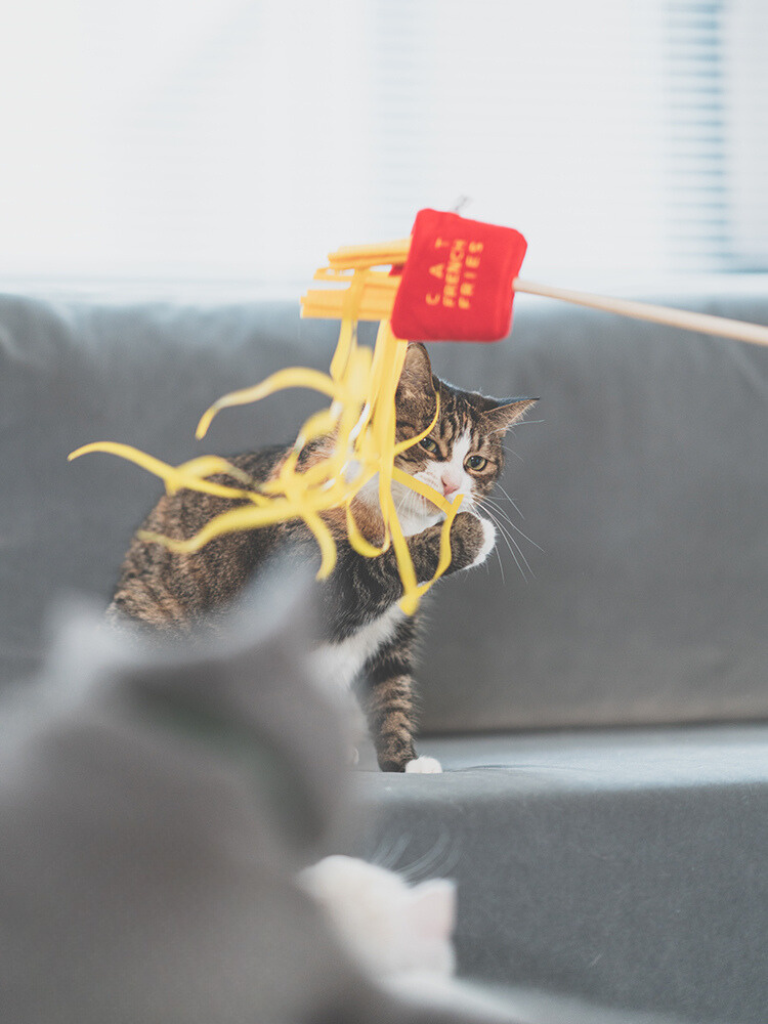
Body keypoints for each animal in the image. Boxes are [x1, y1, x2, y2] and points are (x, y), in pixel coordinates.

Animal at [108, 342, 536, 770]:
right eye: (429, 444)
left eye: (475, 463)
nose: (450, 486)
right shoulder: (306, 585)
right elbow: (375, 570)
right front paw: (468, 533)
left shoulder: (395, 627)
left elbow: (392, 689)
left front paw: (404, 761)